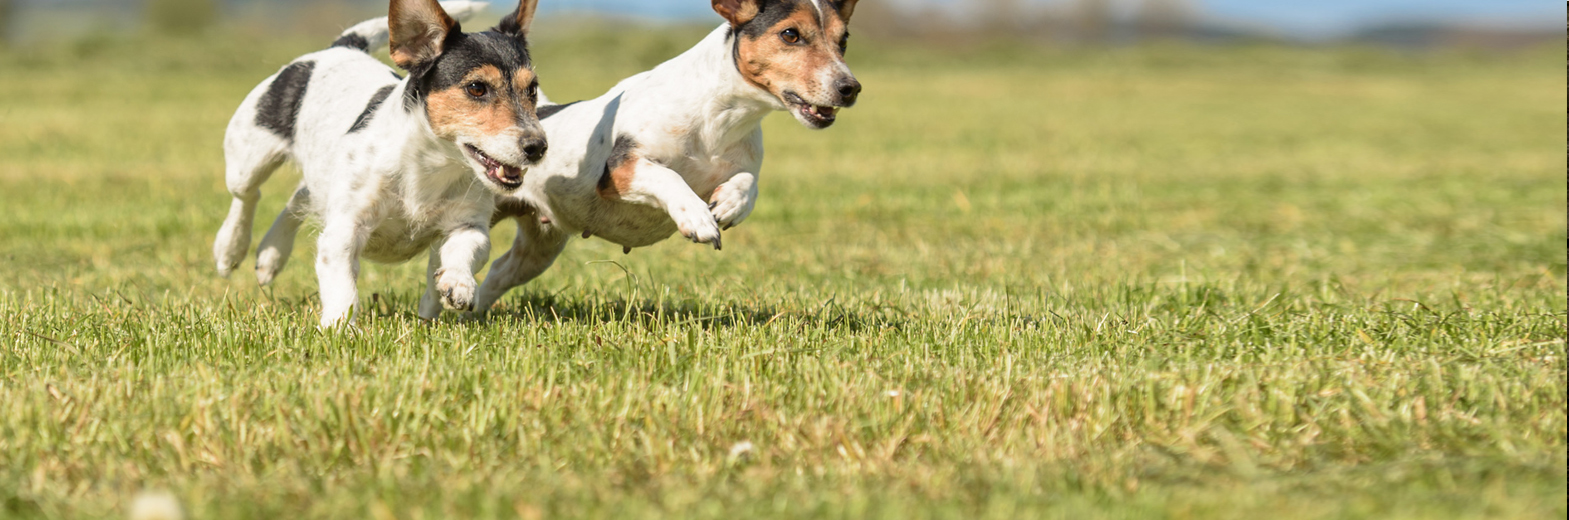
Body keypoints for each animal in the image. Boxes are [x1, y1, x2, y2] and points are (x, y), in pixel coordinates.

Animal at [211, 0, 549, 326]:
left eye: (532, 89)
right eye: (476, 88)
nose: (538, 147)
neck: (432, 166)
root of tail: (342, 47)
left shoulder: (469, 224)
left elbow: (466, 250)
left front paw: (458, 284)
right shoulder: (345, 231)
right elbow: (343, 287)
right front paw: (339, 330)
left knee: (299, 196)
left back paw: (271, 255)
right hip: (249, 157)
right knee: (247, 196)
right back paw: (231, 248)